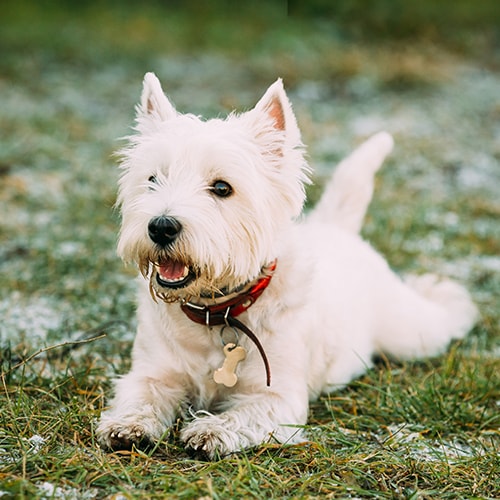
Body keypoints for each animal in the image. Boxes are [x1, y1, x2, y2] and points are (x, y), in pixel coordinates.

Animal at [96, 72, 476, 458]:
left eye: (222, 187)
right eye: (153, 179)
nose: (160, 227)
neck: (216, 314)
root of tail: (336, 228)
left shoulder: (277, 396)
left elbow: (243, 414)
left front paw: (211, 430)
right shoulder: (152, 371)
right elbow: (142, 395)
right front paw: (127, 425)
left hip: (411, 334)